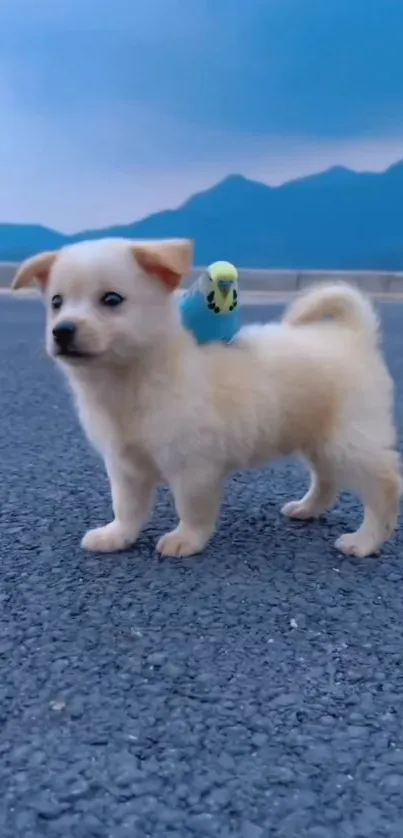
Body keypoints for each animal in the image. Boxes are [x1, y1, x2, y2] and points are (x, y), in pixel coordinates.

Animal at [11, 240, 400, 560]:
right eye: (56, 303)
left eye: (111, 300)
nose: (61, 331)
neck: (132, 378)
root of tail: (353, 335)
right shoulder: (124, 464)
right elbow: (126, 507)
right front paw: (116, 536)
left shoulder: (194, 466)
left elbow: (192, 509)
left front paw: (185, 540)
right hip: (318, 438)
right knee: (328, 478)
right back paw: (308, 509)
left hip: (348, 439)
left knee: (385, 483)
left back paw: (365, 541)